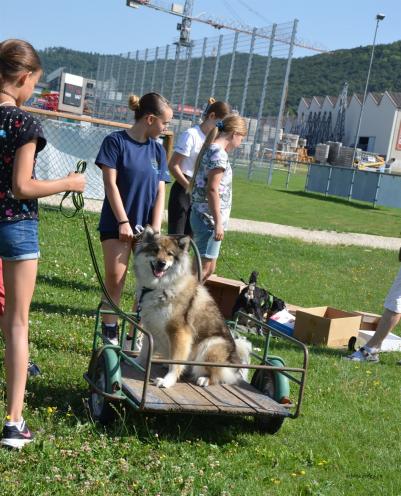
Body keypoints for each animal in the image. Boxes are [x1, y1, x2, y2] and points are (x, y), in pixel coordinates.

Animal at [134, 227, 250, 390]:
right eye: (155, 250)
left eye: (170, 254)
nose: (161, 263)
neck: (160, 286)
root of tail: (234, 363)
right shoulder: (151, 327)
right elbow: (146, 350)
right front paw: (136, 362)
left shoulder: (180, 333)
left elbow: (176, 361)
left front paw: (167, 381)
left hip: (211, 344)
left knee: (218, 376)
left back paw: (204, 379)